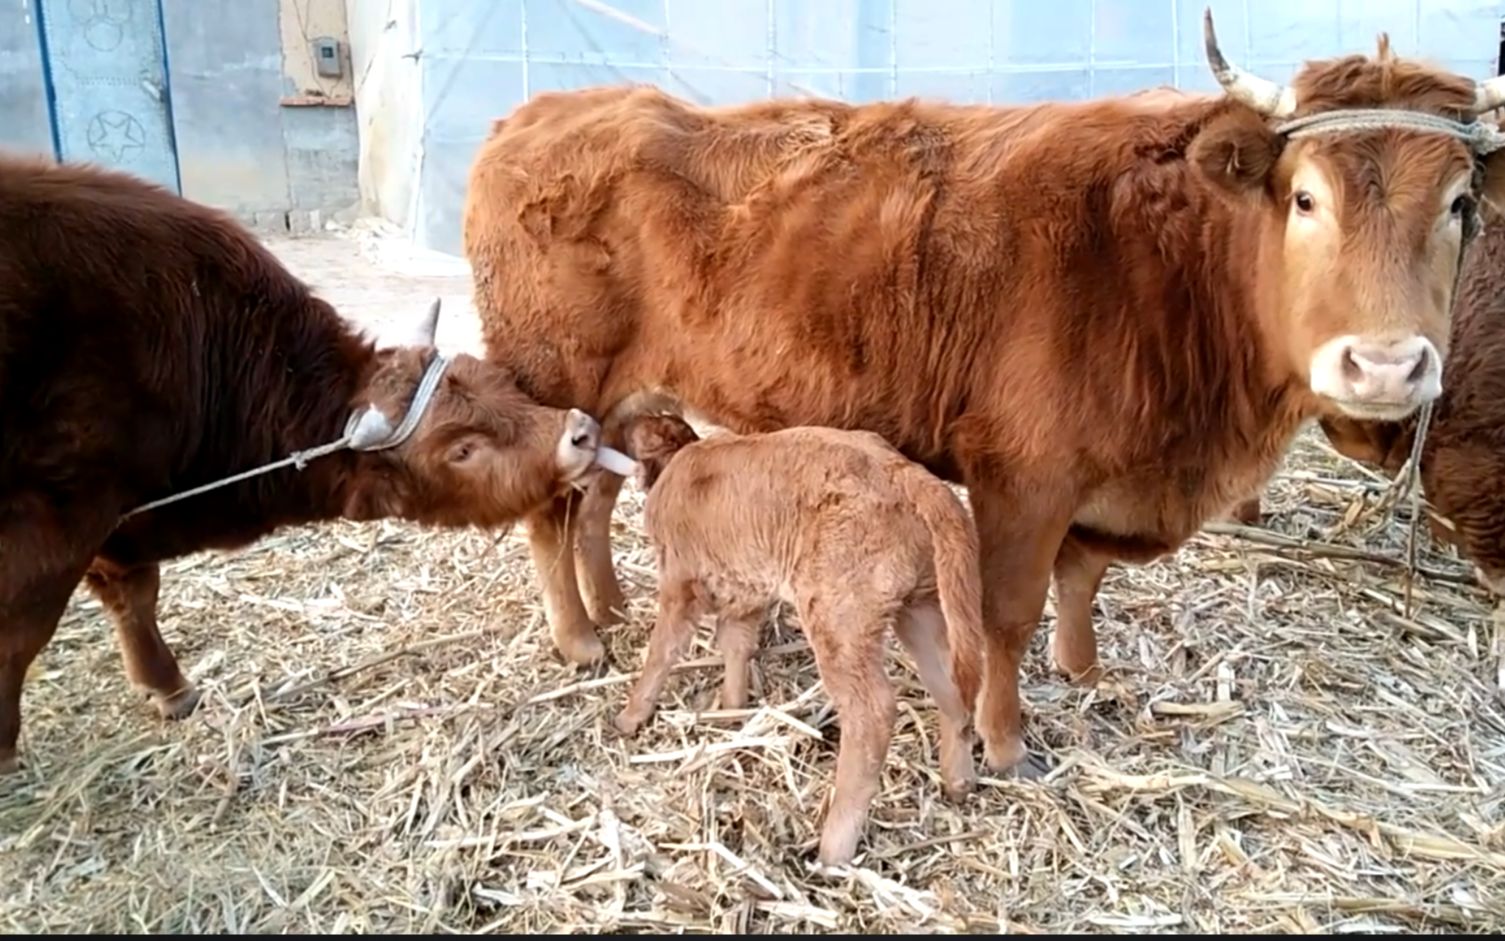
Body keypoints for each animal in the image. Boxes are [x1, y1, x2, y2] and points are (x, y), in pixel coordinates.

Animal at [0, 152, 623, 770]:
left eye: (502, 383)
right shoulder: (58, 526)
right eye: (462, 449)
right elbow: (22, 640)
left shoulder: (116, 525)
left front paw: (168, 686)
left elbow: (133, 593)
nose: (580, 433)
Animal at [463, 11, 1505, 776]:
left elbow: (1082, 574)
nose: (1384, 365)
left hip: (619, 397)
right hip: (555, 379)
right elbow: (1009, 608)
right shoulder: (1021, 473)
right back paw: (578, 638)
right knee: (550, 511)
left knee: (595, 494)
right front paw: (1001, 739)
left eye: (1459, 202)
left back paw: (608, 606)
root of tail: (538, 114)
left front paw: (1081, 668)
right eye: (1304, 197)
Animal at [611, 412, 987, 867]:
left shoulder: (679, 580)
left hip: (839, 621)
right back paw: (958, 782)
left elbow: (662, 651)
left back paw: (832, 849)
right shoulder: (745, 593)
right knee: (952, 688)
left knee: (873, 714)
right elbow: (735, 643)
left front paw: (630, 717)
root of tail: (911, 478)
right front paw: (730, 707)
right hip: (921, 609)